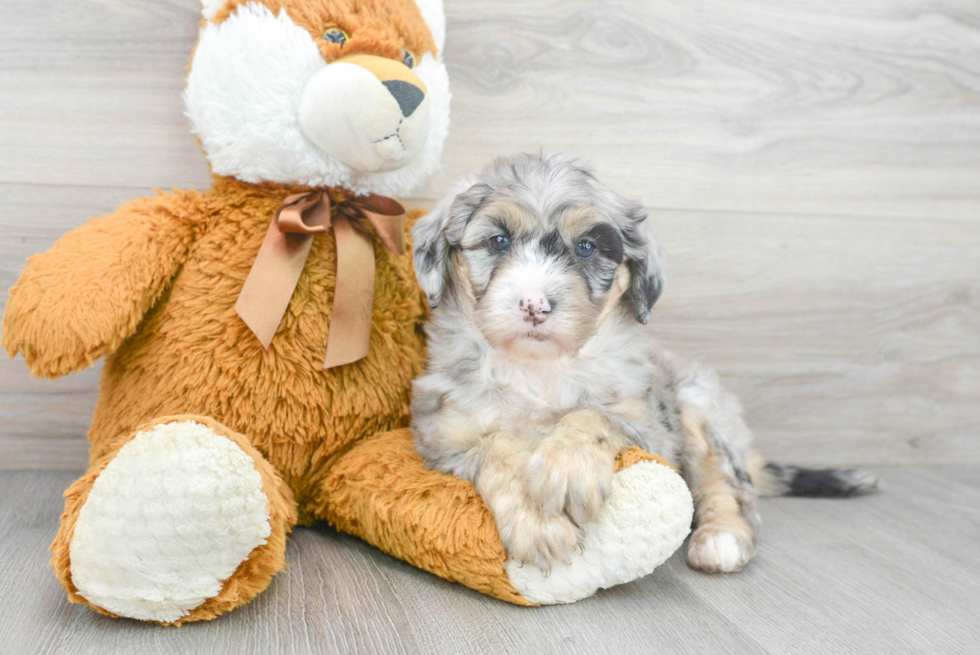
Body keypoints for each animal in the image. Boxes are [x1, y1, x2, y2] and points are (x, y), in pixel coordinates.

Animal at [410, 154, 876, 576]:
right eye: (498, 241)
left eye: (586, 248)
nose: (534, 305)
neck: (540, 369)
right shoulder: (443, 440)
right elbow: (497, 446)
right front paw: (538, 523)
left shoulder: (652, 429)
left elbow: (591, 416)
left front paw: (567, 469)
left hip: (700, 408)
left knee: (728, 487)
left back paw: (720, 539)